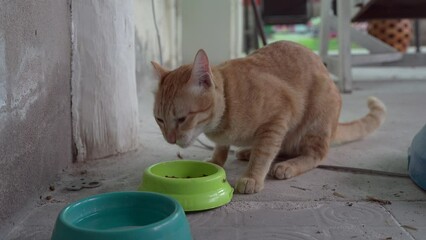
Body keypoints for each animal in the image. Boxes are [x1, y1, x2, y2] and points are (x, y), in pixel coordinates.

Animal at [152, 41, 386, 194]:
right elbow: (222, 147)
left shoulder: (278, 118)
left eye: (182, 119)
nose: (170, 139)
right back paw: (247, 151)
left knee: (314, 154)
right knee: (283, 147)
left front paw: (252, 177)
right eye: (159, 120)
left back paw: (288, 165)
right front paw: (217, 159)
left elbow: (264, 153)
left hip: (316, 119)